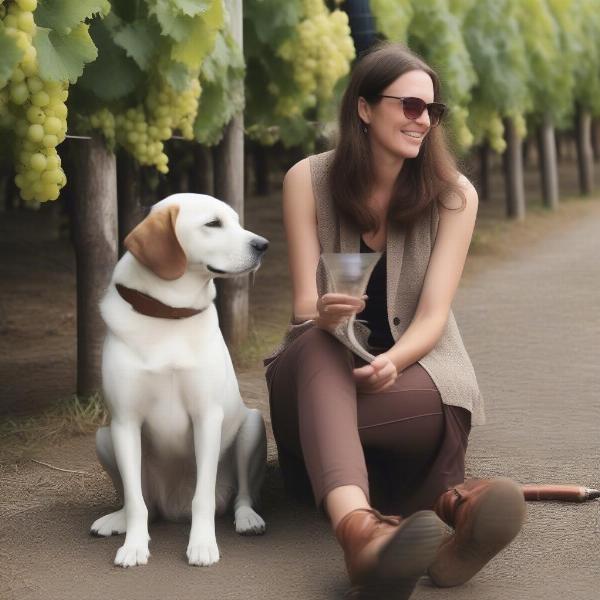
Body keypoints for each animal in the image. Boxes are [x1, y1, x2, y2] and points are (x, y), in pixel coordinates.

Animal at [90, 193, 268, 568]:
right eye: (213, 224)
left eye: (236, 221)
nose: (264, 245)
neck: (169, 315)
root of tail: (173, 507)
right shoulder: (125, 423)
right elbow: (136, 502)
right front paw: (134, 545)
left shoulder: (207, 417)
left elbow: (203, 497)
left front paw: (202, 544)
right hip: (104, 437)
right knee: (140, 501)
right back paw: (117, 519)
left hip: (253, 426)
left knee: (242, 495)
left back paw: (247, 518)